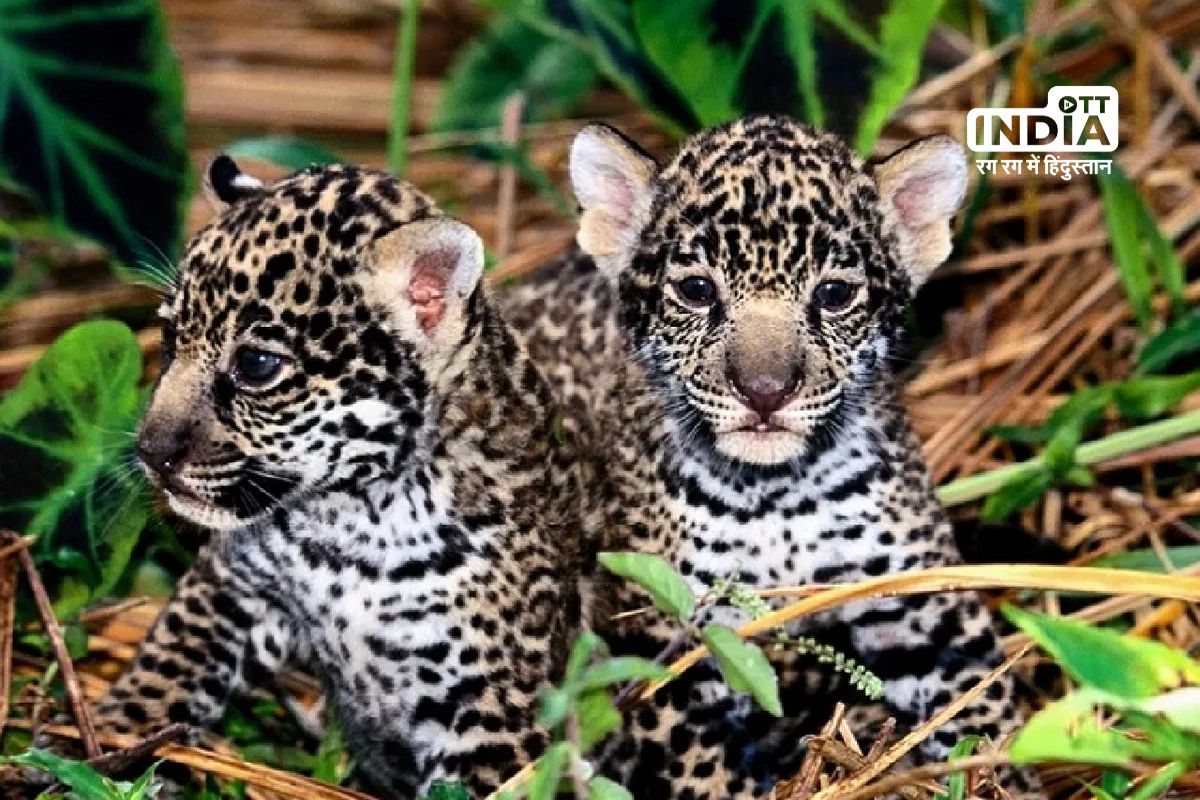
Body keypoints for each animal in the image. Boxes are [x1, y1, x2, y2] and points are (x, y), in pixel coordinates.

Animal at [89, 158, 589, 798]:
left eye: (256, 365)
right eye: (172, 338)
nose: (150, 453)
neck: (351, 525)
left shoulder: (492, 708)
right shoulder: (227, 586)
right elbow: (164, 667)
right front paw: (105, 745)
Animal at [500, 115, 1037, 798]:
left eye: (832, 295)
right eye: (696, 290)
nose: (763, 390)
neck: (778, 495)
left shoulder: (923, 603)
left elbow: (984, 711)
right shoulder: (670, 638)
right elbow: (703, 772)